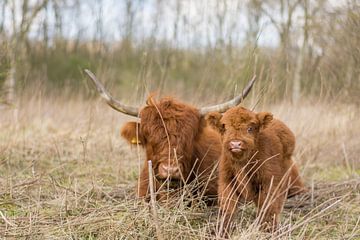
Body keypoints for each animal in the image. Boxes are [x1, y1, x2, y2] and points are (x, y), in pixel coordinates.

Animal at [207, 106, 306, 235]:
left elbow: (268, 207)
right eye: (224, 127)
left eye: (250, 128)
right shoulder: (226, 181)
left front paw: (268, 230)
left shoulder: (268, 182)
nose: (235, 144)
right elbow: (228, 207)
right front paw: (223, 231)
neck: (242, 162)